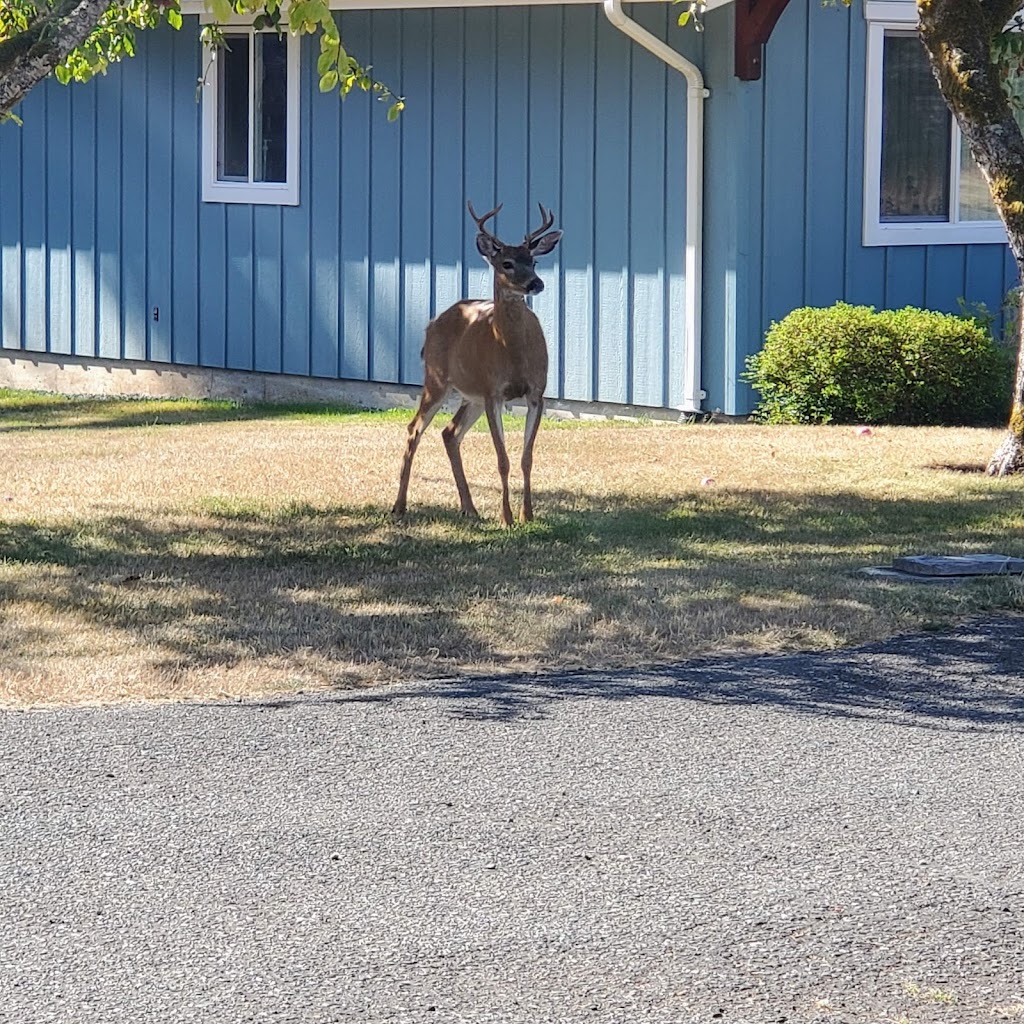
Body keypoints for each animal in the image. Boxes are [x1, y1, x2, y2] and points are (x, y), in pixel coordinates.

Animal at [393, 198, 569, 524]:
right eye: (506, 263)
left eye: (534, 261)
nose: (536, 283)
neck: (513, 352)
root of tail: (433, 323)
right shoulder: (493, 393)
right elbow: (502, 459)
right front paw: (507, 517)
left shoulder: (537, 393)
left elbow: (526, 458)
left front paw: (527, 515)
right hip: (436, 380)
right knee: (414, 429)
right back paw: (399, 506)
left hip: (470, 395)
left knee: (449, 433)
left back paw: (470, 508)